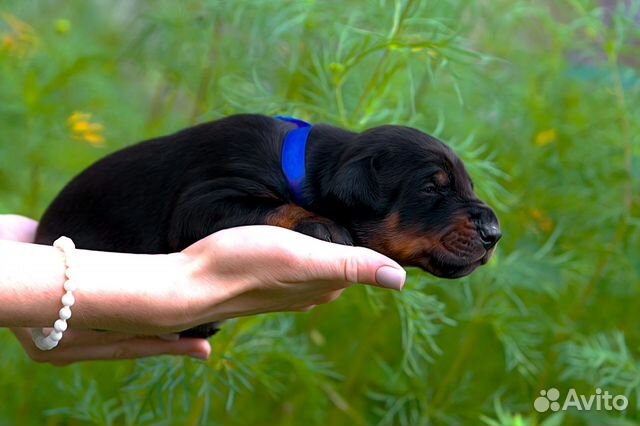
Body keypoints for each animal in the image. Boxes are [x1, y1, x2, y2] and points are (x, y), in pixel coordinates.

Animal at [35, 115, 502, 338]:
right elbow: (275, 206)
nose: (495, 234)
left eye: (467, 185)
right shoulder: (205, 199)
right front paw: (324, 225)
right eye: (431, 186)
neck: (303, 164)